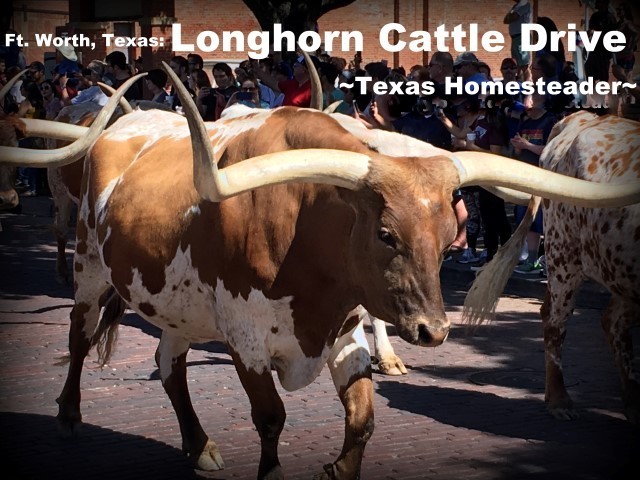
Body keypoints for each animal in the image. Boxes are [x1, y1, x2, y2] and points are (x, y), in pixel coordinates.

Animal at [1, 67, 640, 476]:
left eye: (447, 236)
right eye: (386, 234)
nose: (434, 331)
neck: (307, 239)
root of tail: (117, 130)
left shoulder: (345, 331)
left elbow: (363, 418)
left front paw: (338, 465)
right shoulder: (247, 341)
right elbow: (270, 419)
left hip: (177, 306)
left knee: (169, 367)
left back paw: (198, 444)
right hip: (90, 267)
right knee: (79, 337)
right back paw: (68, 415)